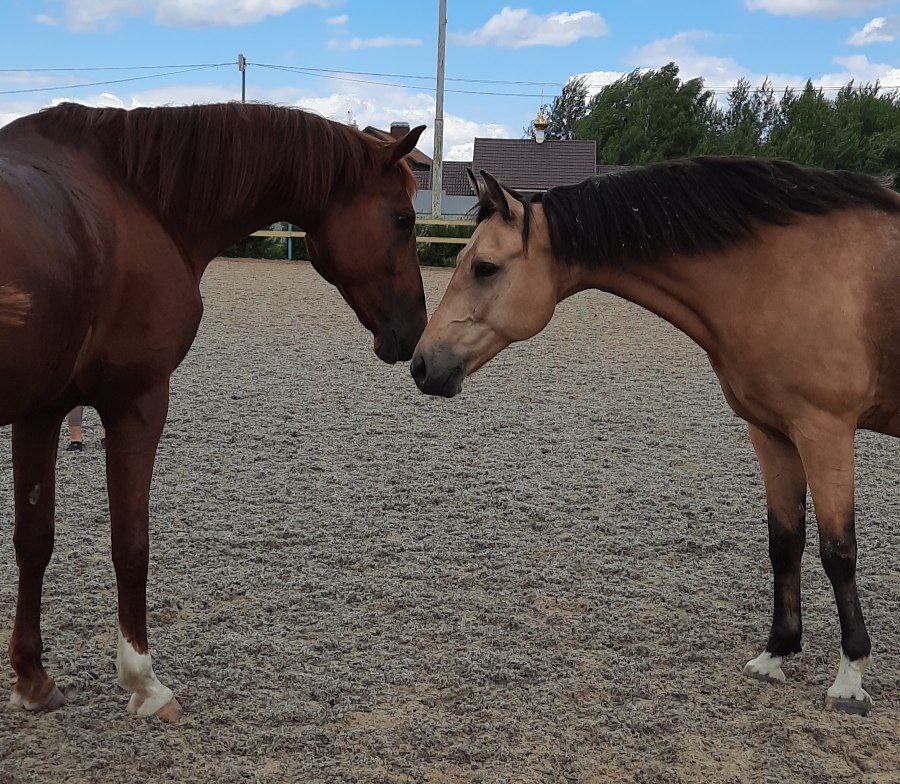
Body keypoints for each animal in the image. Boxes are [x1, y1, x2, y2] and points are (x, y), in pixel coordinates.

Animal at [0, 104, 428, 724]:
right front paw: (145, 682)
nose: (416, 331)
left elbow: (34, 540)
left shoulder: (41, 410)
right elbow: (131, 544)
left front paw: (33, 678)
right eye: (402, 218)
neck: (134, 200)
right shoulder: (138, 402)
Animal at [412, 159, 896, 716]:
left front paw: (850, 678)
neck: (782, 273)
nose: (421, 365)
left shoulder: (825, 431)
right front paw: (776, 653)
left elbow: (838, 552)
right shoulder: (773, 432)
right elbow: (785, 541)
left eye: (485, 268)